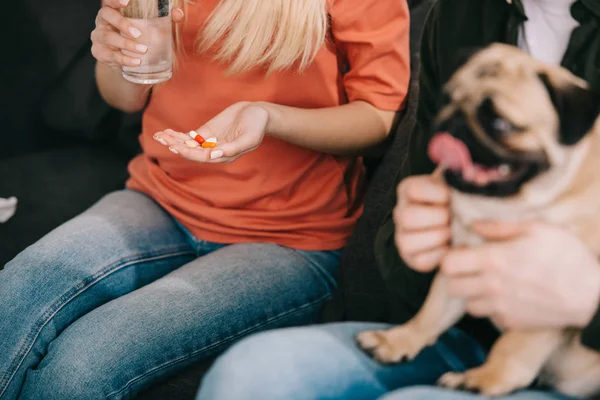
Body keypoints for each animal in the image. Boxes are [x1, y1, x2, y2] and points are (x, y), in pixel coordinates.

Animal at [356, 43, 600, 396]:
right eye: (446, 99)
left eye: (499, 123)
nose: (454, 122)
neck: (506, 207)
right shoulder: (459, 266)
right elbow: (432, 312)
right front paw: (398, 339)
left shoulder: (545, 300)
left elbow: (512, 346)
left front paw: (485, 378)